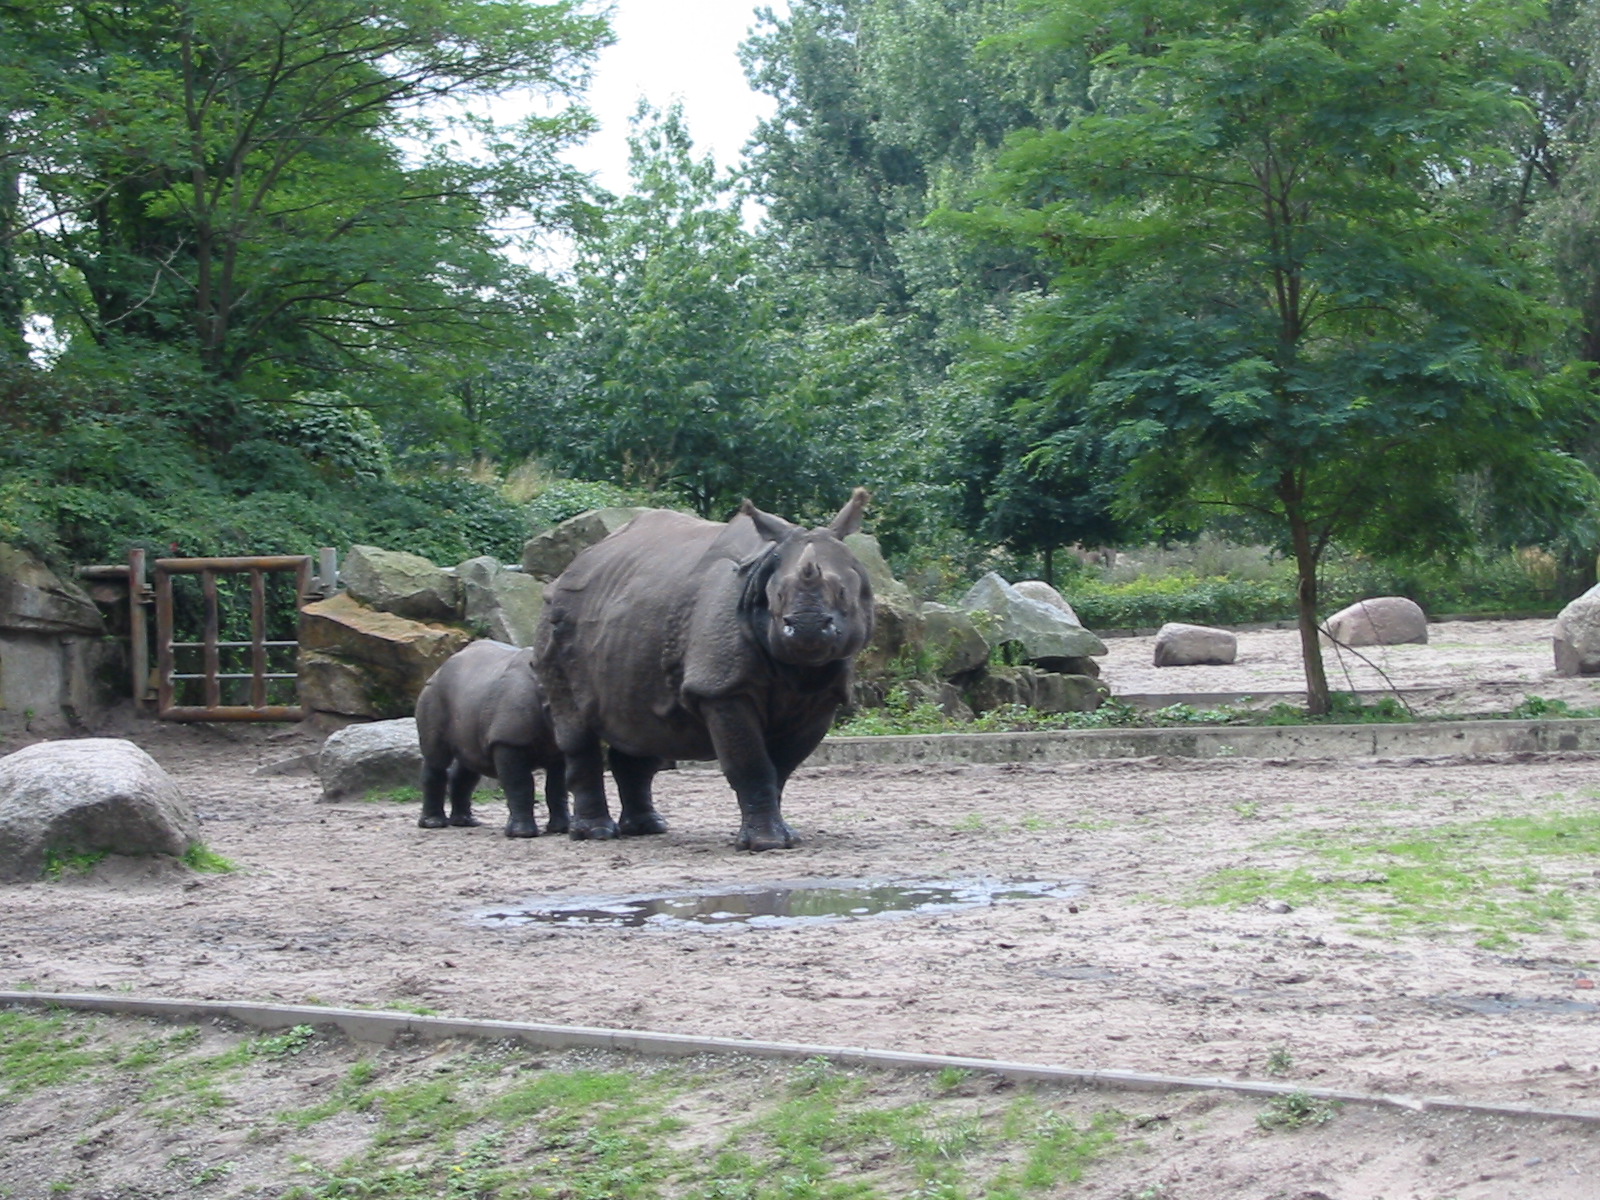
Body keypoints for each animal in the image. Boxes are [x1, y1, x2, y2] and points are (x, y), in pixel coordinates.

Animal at [413, 640, 569, 838]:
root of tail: (441, 666)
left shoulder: (558, 748)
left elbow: (557, 787)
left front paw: (561, 829)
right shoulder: (507, 741)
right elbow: (520, 783)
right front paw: (521, 834)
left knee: (469, 763)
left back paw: (465, 822)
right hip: (434, 692)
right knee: (437, 758)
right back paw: (434, 824)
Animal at [534, 490, 874, 851]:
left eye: (843, 593)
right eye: (777, 595)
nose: (807, 627)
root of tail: (571, 565)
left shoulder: (823, 698)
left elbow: (781, 767)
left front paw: (786, 836)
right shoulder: (722, 688)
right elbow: (751, 764)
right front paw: (765, 843)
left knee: (642, 724)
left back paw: (648, 828)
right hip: (554, 621)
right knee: (575, 725)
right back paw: (596, 834)